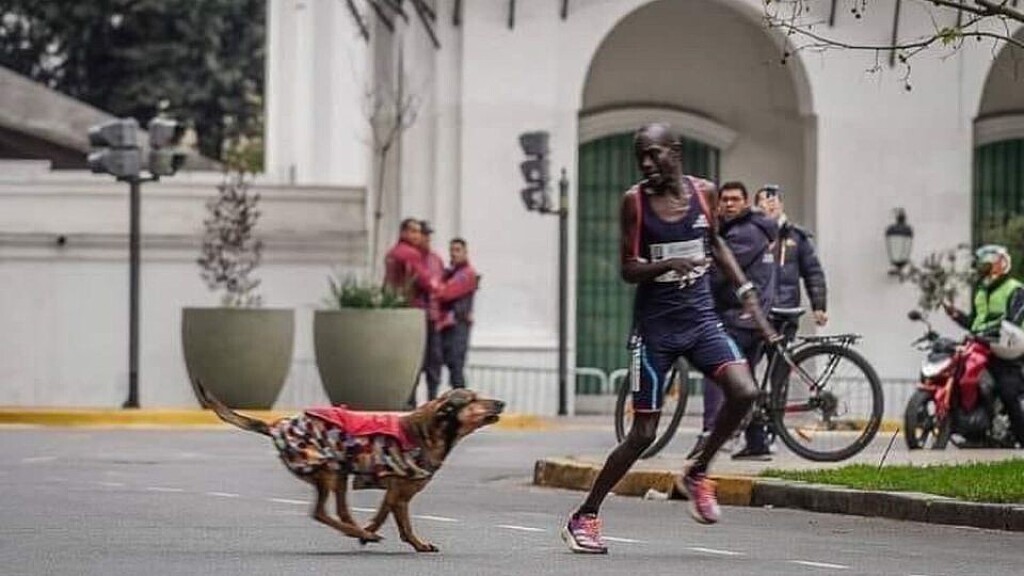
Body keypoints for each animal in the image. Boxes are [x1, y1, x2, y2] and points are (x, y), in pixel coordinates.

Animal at [193, 380, 504, 552]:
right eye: (473, 400)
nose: (501, 402)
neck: (429, 431)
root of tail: (277, 426)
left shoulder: (396, 493)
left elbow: (388, 517)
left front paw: (384, 534)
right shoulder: (400, 493)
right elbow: (398, 521)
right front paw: (401, 539)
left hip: (339, 472)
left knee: (341, 511)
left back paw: (356, 530)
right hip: (328, 470)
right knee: (320, 512)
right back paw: (358, 532)